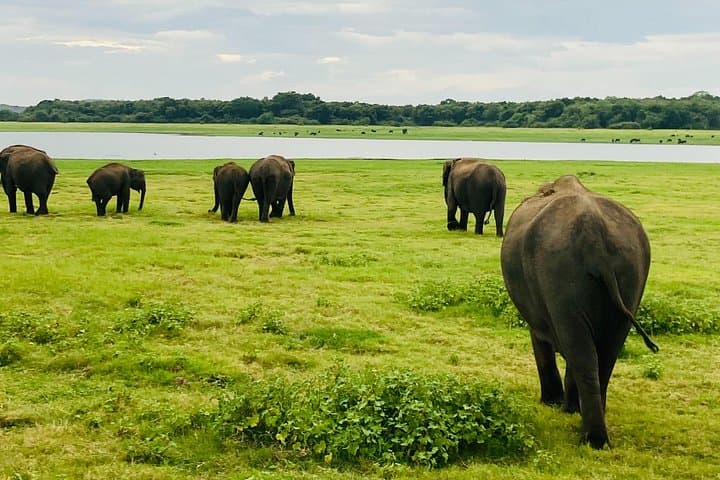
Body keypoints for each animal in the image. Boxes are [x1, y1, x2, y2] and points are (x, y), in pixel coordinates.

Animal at [500, 175, 658, 449]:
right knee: (604, 353)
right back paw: (595, 432)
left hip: (558, 274)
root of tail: (595, 235)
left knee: (582, 351)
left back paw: (590, 438)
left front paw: (552, 404)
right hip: (631, 274)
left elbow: (541, 338)